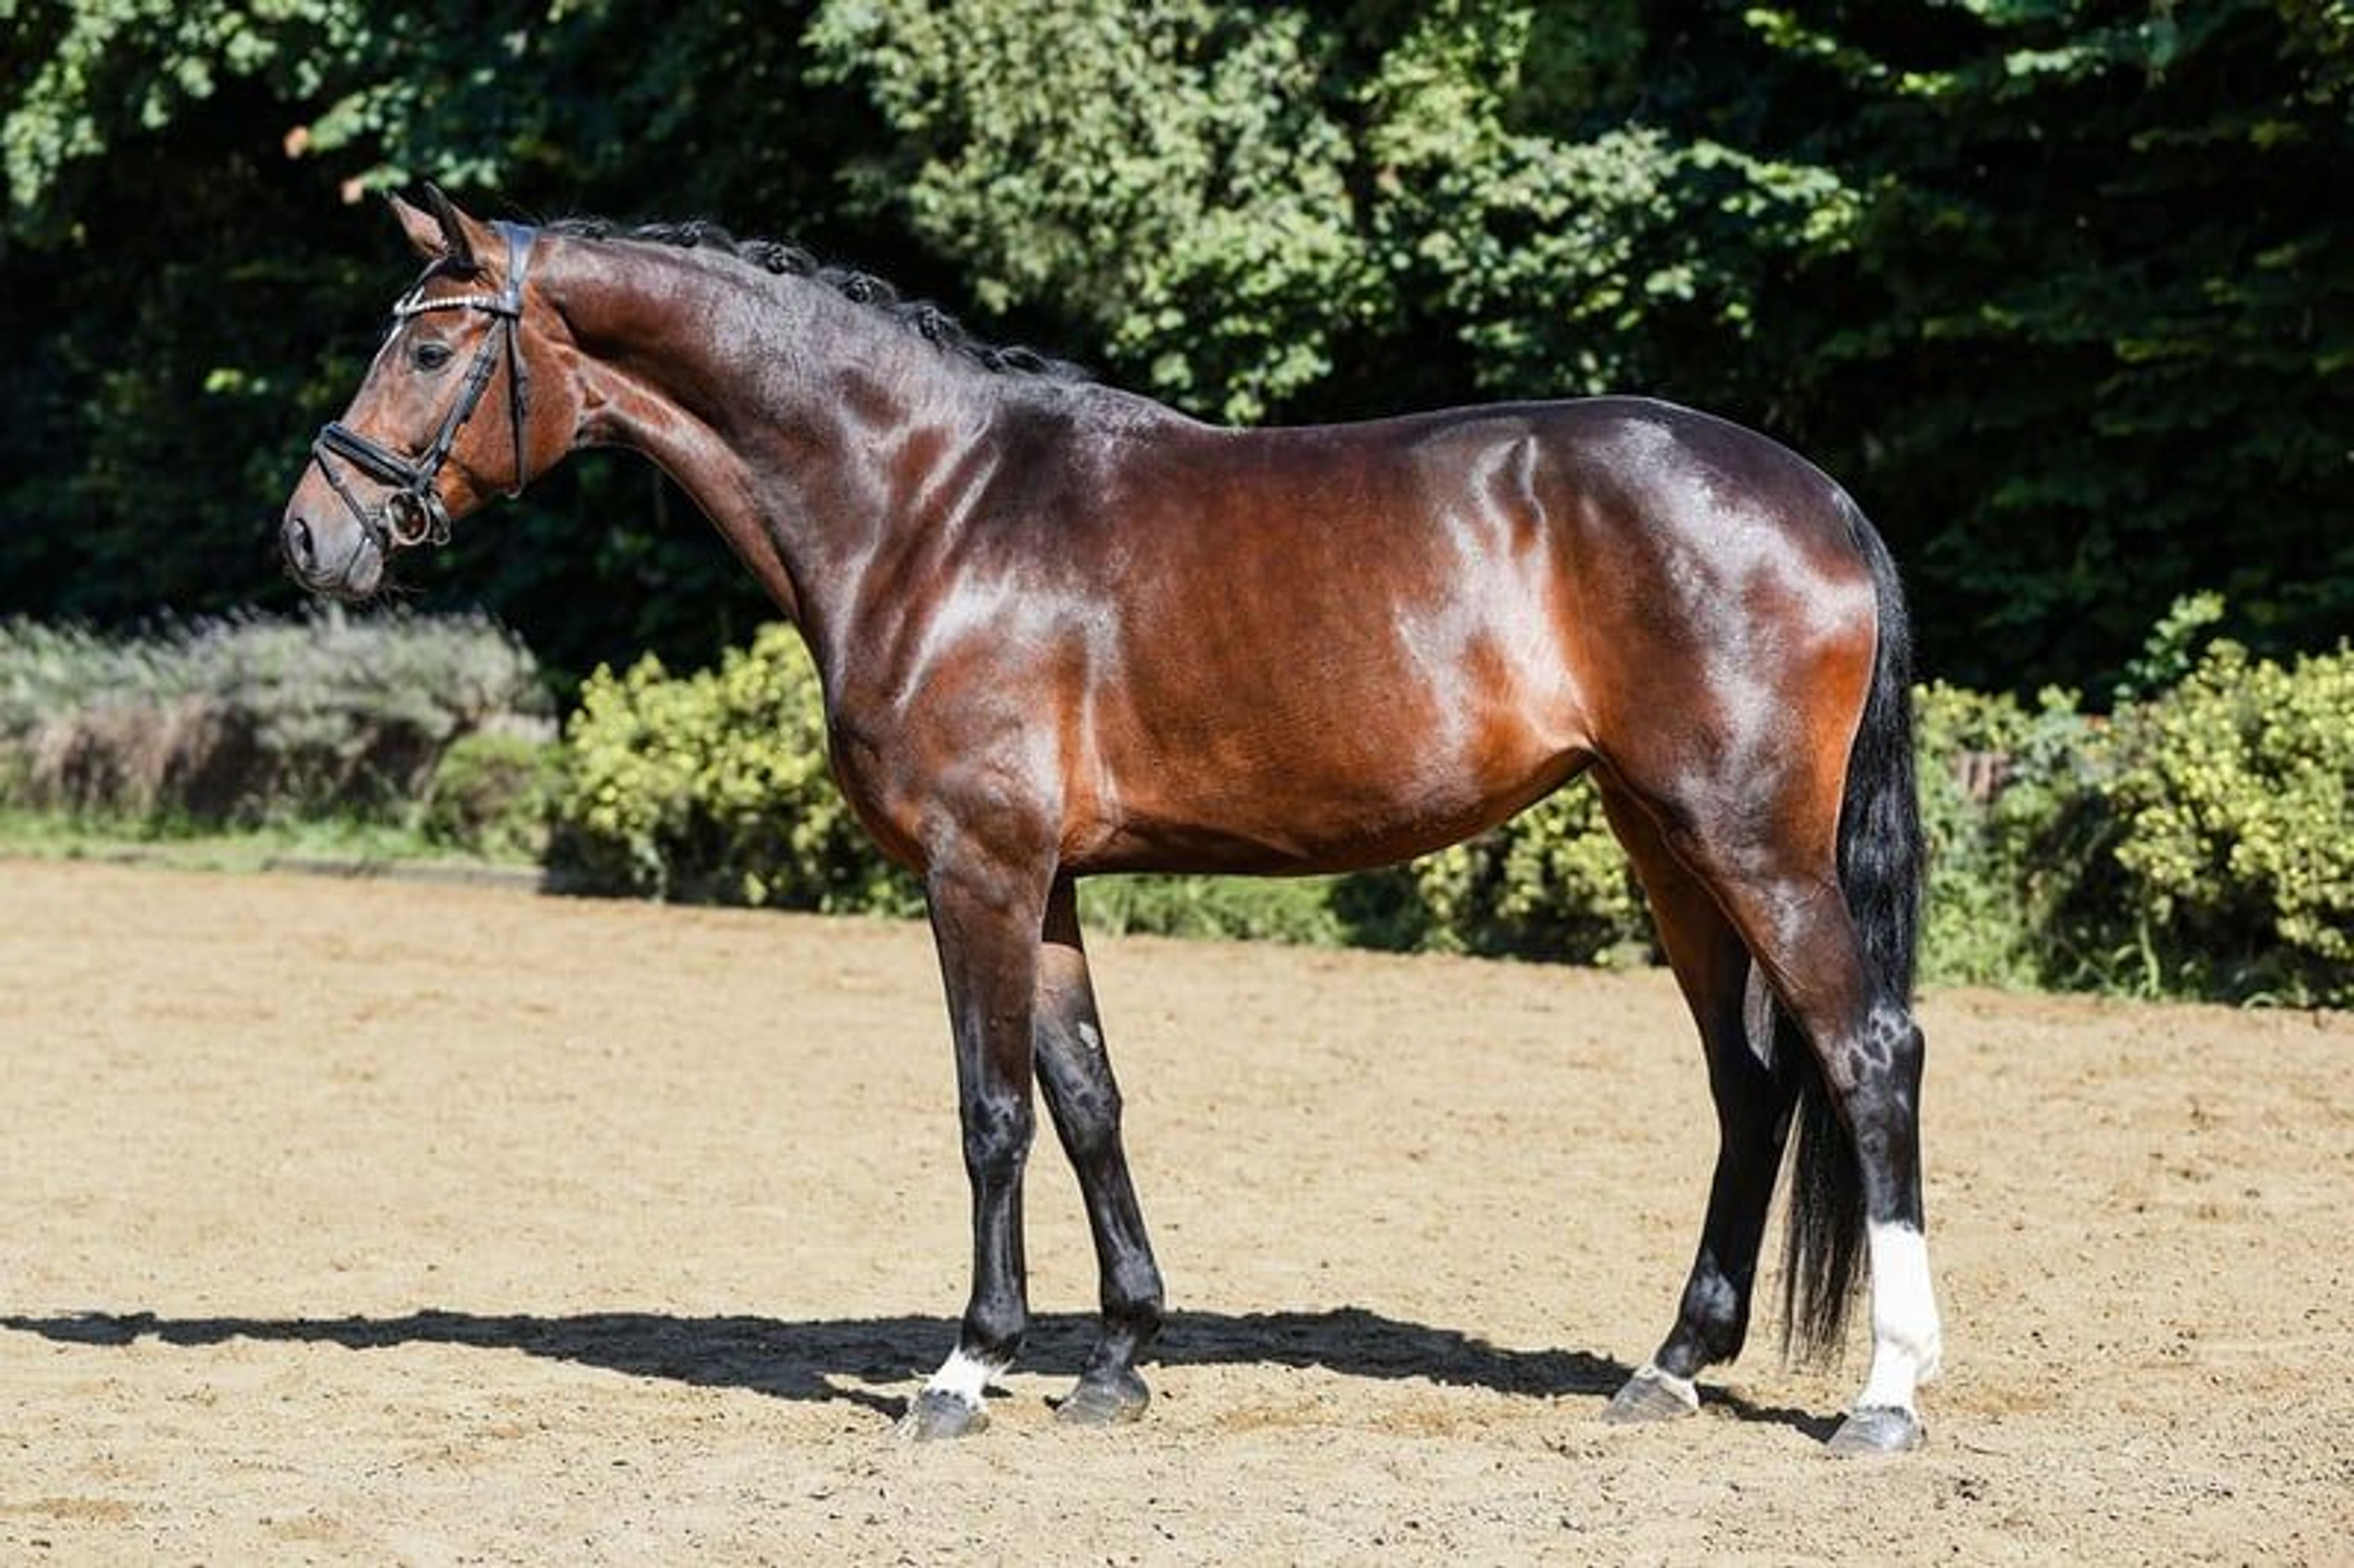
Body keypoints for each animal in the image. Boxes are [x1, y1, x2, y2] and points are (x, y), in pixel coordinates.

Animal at [281, 186, 1942, 1455]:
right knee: (1750, 1085)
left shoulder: (978, 870)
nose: (310, 534)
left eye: (430, 343)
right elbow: (1086, 1101)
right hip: (1666, 846)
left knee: (1866, 1055)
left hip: (1746, 844)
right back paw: (1670, 1365)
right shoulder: (1051, 879)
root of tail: (1822, 500)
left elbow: (992, 1111)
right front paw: (1118, 1357)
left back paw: (1885, 1395)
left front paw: (966, 1366)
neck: (928, 506)